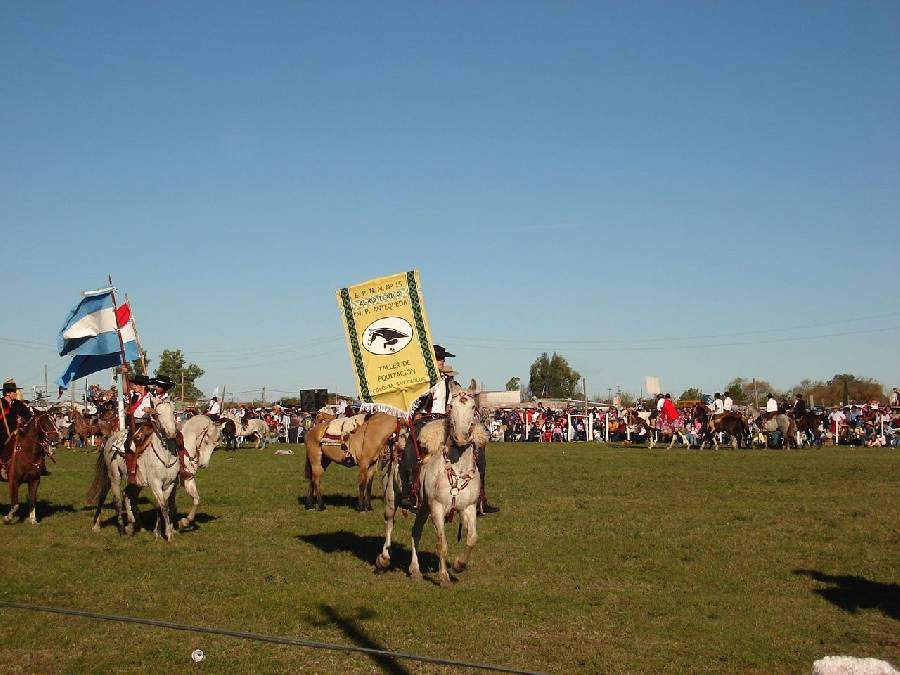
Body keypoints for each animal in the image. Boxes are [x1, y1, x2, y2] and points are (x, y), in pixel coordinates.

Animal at [86, 402, 181, 540]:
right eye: (157, 414)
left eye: (173, 412)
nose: (171, 433)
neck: (166, 456)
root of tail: (110, 439)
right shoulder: (156, 483)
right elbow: (163, 507)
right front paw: (168, 535)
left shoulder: (170, 484)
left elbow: (163, 506)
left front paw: (161, 533)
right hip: (114, 476)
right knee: (115, 499)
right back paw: (117, 528)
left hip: (136, 482)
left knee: (126, 494)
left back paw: (132, 526)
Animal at [374, 382, 486, 588]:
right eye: (451, 407)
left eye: (473, 407)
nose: (461, 437)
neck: (457, 468)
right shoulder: (438, 508)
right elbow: (442, 544)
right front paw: (443, 577)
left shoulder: (468, 507)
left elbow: (472, 538)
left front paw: (459, 565)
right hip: (392, 498)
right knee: (389, 523)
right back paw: (384, 559)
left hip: (423, 508)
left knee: (415, 531)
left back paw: (415, 570)